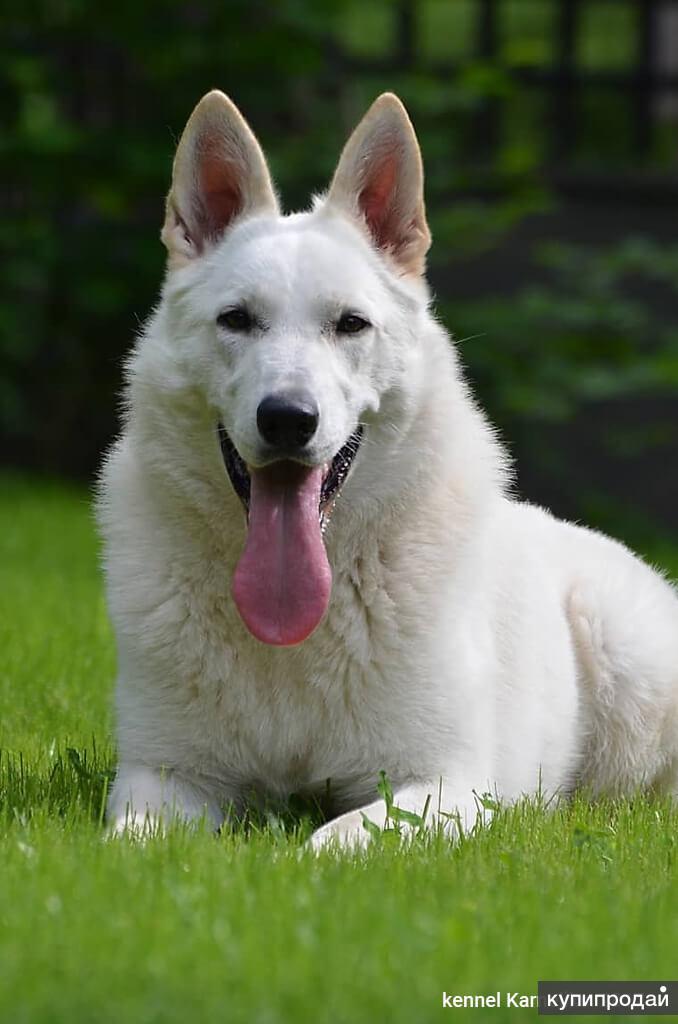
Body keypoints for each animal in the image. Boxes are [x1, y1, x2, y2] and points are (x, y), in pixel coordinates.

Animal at [99, 90, 678, 847]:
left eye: (351, 324)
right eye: (236, 320)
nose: (288, 419)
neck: (297, 628)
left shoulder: (445, 785)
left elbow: (331, 839)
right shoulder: (162, 778)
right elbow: (129, 843)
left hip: (622, 649)